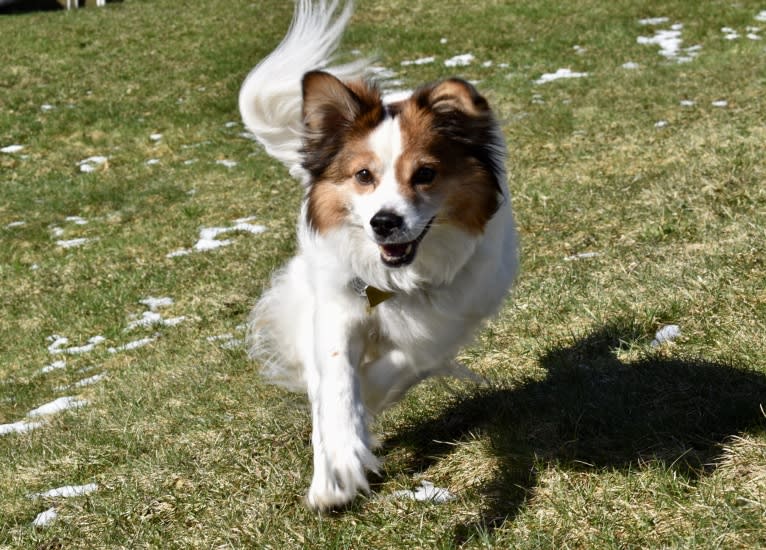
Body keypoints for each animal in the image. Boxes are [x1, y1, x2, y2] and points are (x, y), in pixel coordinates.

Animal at [238, 0, 520, 512]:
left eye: (425, 173)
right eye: (363, 175)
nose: (383, 222)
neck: (399, 283)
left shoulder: (446, 324)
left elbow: (398, 364)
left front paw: (360, 423)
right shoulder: (335, 308)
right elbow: (336, 382)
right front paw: (340, 458)